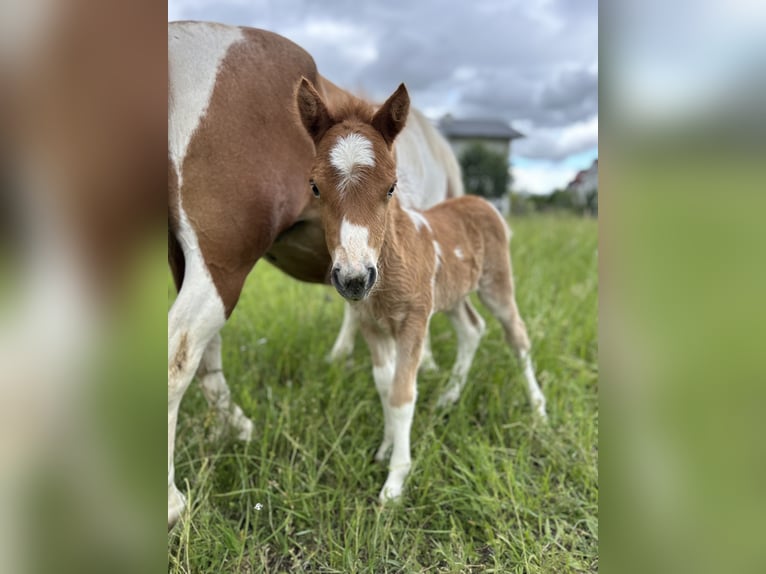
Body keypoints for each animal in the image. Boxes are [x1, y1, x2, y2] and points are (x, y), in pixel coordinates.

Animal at [170, 20, 462, 528]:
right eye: (315, 188)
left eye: (390, 187)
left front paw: (342, 356)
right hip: (219, 266)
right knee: (179, 354)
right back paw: (172, 502)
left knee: (203, 356)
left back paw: (239, 430)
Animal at [296, 79, 548, 502]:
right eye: (315, 186)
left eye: (391, 187)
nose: (354, 278)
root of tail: (483, 202)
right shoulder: (372, 325)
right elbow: (384, 386)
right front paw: (384, 449)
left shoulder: (413, 320)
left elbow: (402, 393)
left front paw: (395, 482)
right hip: (451, 295)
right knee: (472, 329)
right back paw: (449, 396)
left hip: (496, 283)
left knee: (517, 335)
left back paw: (538, 408)